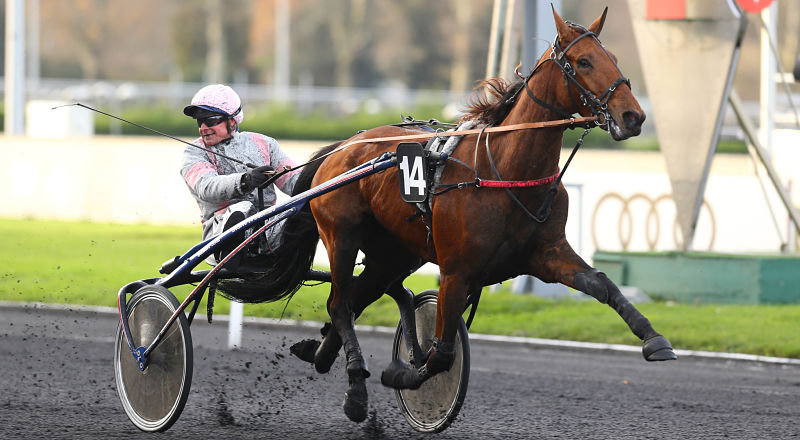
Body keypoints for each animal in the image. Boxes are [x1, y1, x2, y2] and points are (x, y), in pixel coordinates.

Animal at [217, 6, 676, 424]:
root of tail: (343, 148)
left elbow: (602, 284)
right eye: (583, 61)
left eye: (612, 57)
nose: (633, 116)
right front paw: (402, 374)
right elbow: (441, 355)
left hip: (395, 253)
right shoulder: (457, 271)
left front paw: (654, 340)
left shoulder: (545, 254)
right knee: (341, 302)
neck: (504, 171)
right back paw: (356, 389)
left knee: (355, 299)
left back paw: (321, 354)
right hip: (342, 236)